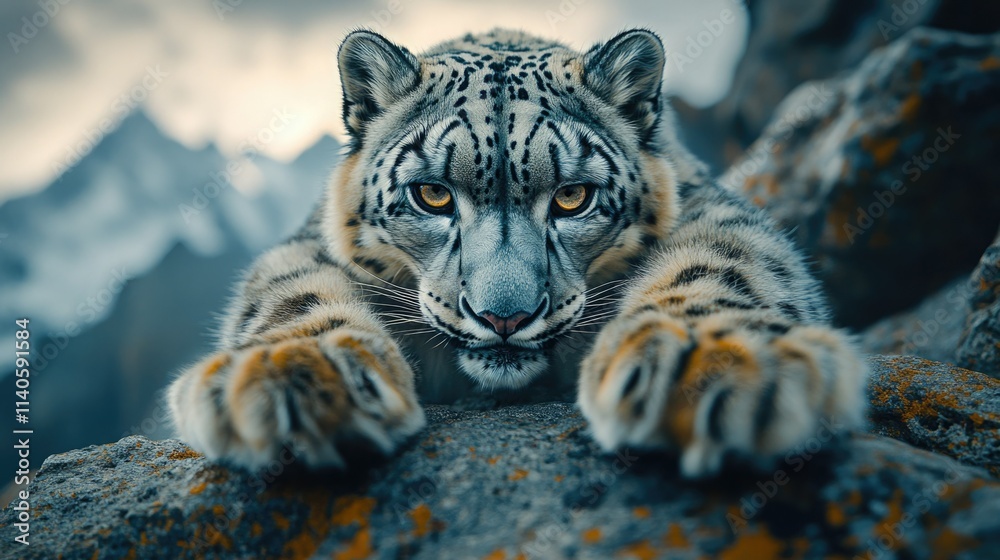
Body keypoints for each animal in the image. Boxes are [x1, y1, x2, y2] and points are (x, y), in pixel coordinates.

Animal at [167, 28, 867, 478]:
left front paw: (704, 362)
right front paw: (295, 375)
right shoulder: (308, 242)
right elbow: (293, 292)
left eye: (573, 197)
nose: (504, 316)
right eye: (432, 194)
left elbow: (723, 258)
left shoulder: (710, 206)